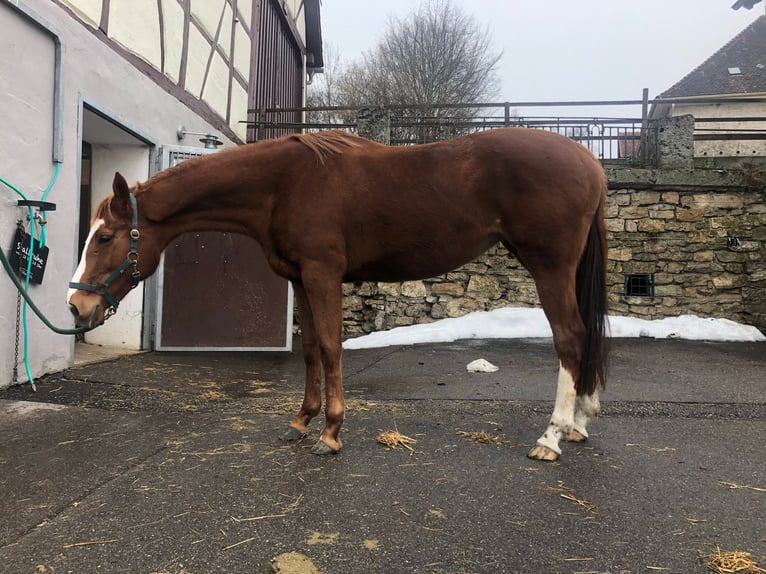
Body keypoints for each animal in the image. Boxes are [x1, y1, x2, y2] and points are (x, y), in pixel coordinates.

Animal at [67, 130, 608, 464]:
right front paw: (301, 421)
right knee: (584, 337)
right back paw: (580, 422)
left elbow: (330, 347)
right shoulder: (300, 279)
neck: (284, 183)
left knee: (569, 336)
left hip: (549, 265)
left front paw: (331, 432)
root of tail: (589, 161)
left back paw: (552, 436)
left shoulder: (323, 273)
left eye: (105, 237)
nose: (77, 306)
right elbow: (309, 349)